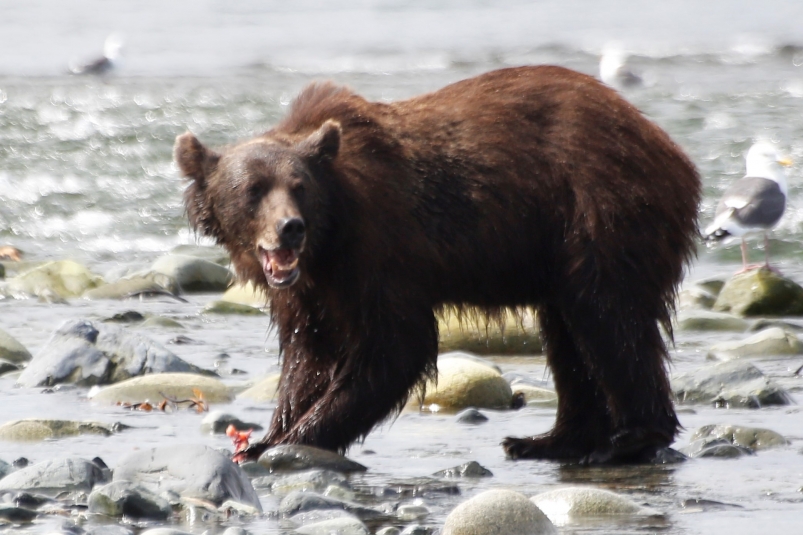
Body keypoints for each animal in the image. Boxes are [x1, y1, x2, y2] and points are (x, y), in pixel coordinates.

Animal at [174, 65, 700, 464]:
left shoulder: (381, 251)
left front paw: (293, 439)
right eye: (253, 190)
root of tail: (674, 151)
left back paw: (626, 440)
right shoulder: (309, 290)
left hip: (600, 214)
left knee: (609, 319)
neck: (330, 239)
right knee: (568, 333)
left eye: (300, 186)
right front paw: (268, 434)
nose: (290, 228)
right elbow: (310, 354)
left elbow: (395, 346)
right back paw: (548, 440)